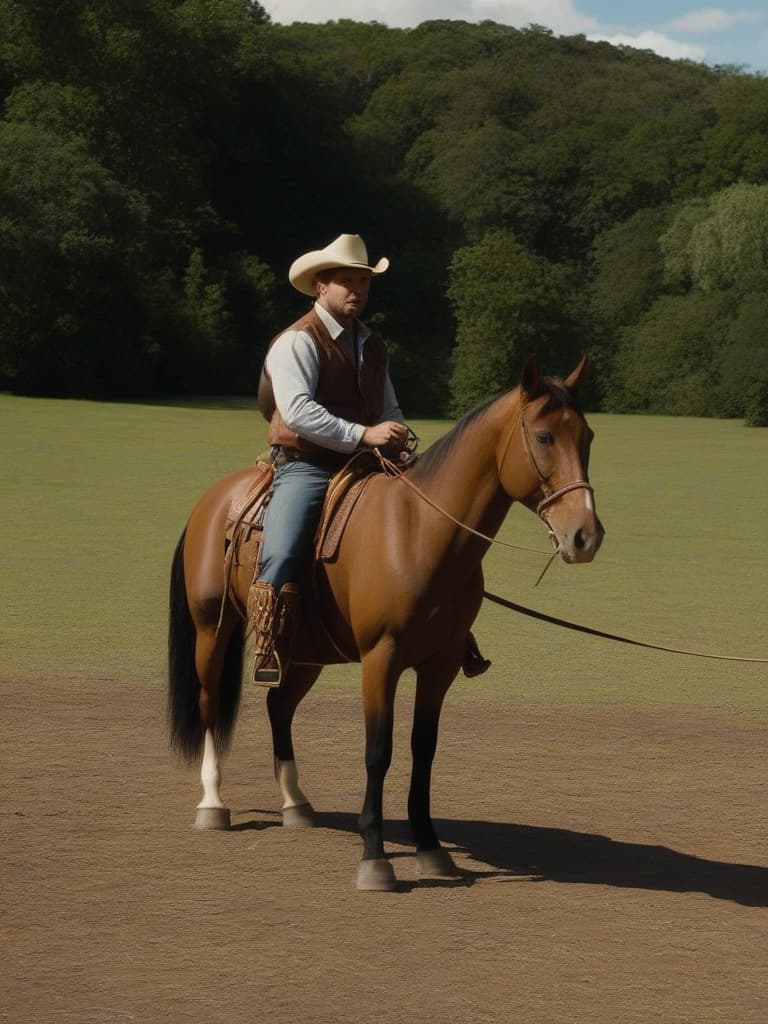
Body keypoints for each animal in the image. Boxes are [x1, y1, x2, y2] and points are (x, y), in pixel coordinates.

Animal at [169, 358, 606, 888]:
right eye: (543, 436)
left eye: (586, 436)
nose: (585, 535)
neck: (419, 531)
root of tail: (213, 502)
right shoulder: (382, 658)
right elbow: (379, 750)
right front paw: (375, 857)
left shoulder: (439, 664)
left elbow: (424, 747)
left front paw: (430, 847)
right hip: (212, 629)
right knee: (211, 704)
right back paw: (212, 804)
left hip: (306, 649)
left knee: (279, 706)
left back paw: (296, 804)